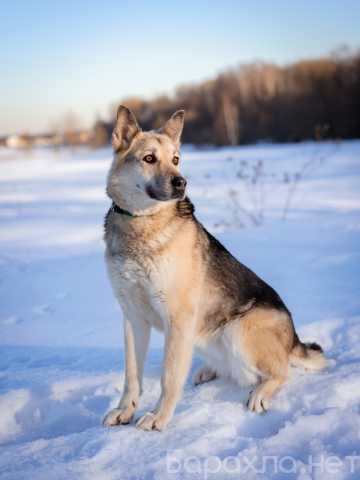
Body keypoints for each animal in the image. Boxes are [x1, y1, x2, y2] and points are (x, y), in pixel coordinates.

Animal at [102, 106, 326, 432]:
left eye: (176, 159)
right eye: (149, 158)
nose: (181, 183)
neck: (141, 222)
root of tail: (293, 338)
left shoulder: (177, 319)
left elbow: (169, 376)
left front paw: (159, 417)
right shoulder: (132, 317)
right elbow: (132, 375)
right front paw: (124, 411)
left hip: (238, 329)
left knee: (281, 371)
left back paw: (261, 392)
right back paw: (210, 371)